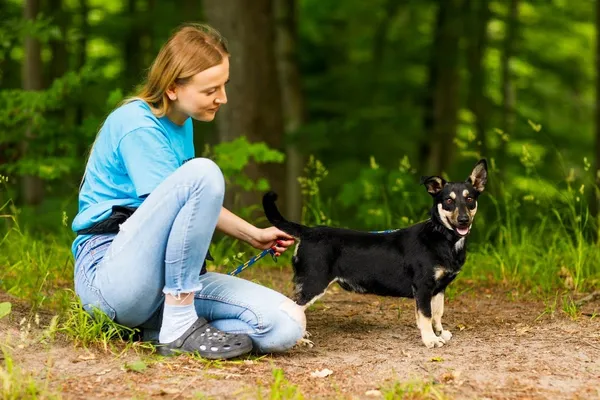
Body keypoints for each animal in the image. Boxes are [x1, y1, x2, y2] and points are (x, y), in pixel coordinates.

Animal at [262, 159, 488, 346]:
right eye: (448, 201)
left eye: (470, 199)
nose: (463, 220)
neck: (442, 237)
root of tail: (307, 231)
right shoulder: (423, 287)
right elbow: (425, 316)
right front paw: (431, 340)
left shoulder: (439, 288)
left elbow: (437, 313)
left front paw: (439, 333)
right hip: (313, 282)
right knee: (289, 308)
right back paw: (298, 340)